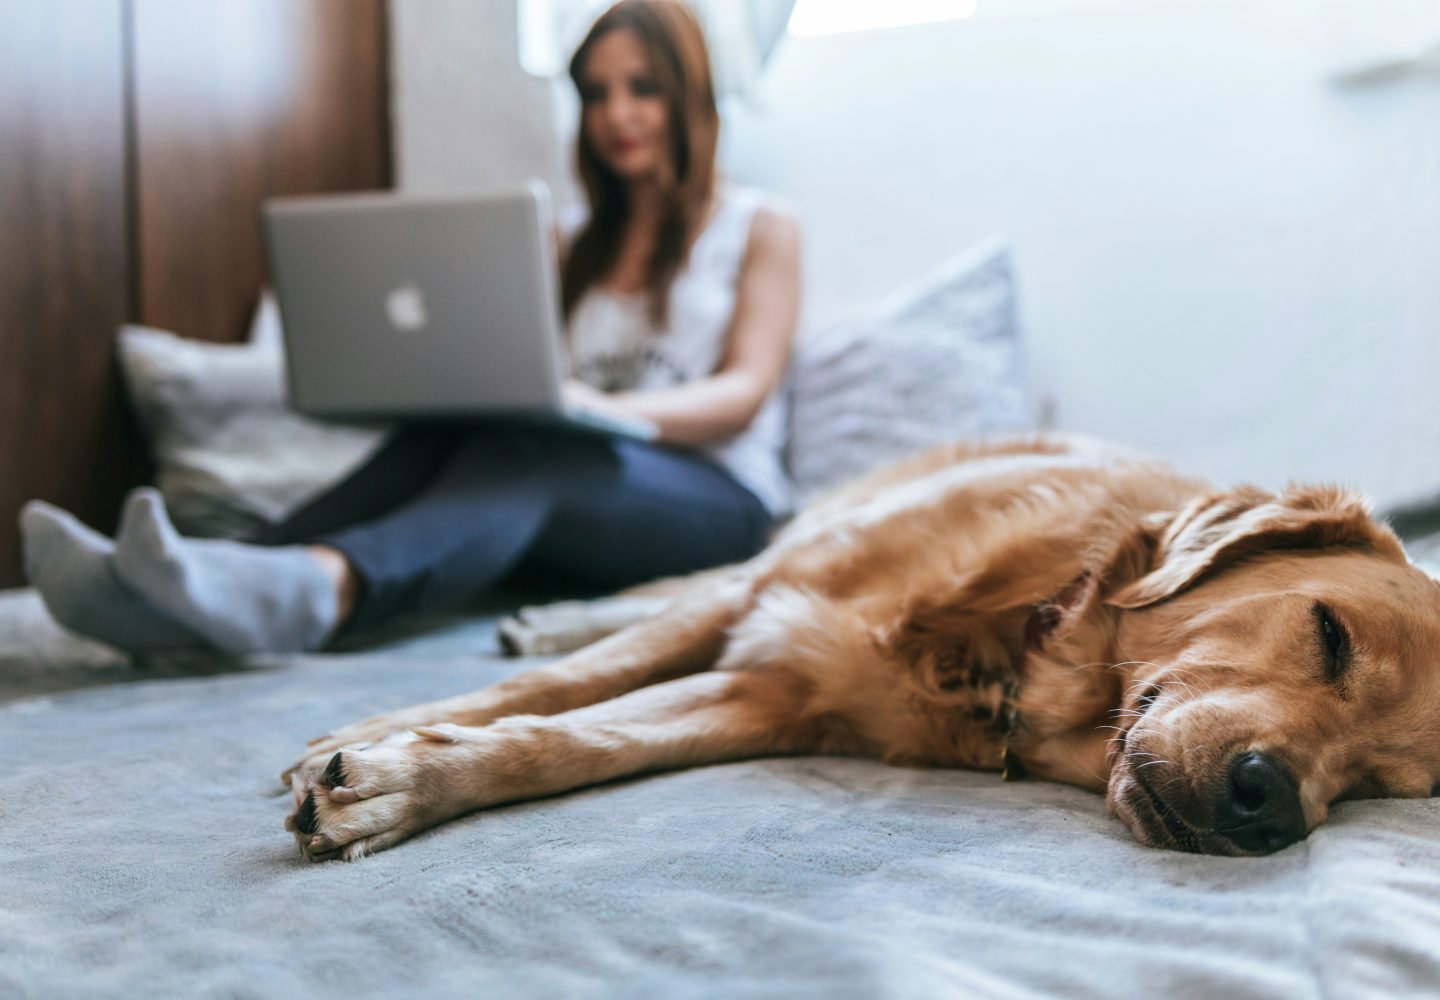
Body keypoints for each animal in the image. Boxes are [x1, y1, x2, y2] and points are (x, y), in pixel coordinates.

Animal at [280, 438, 1440, 864]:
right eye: (1329, 634)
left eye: (1391, 784)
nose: (1270, 804)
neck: (1020, 637)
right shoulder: (766, 601)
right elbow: (567, 684)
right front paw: (381, 739)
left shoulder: (767, 695)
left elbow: (574, 741)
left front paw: (403, 781)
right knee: (657, 598)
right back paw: (552, 612)